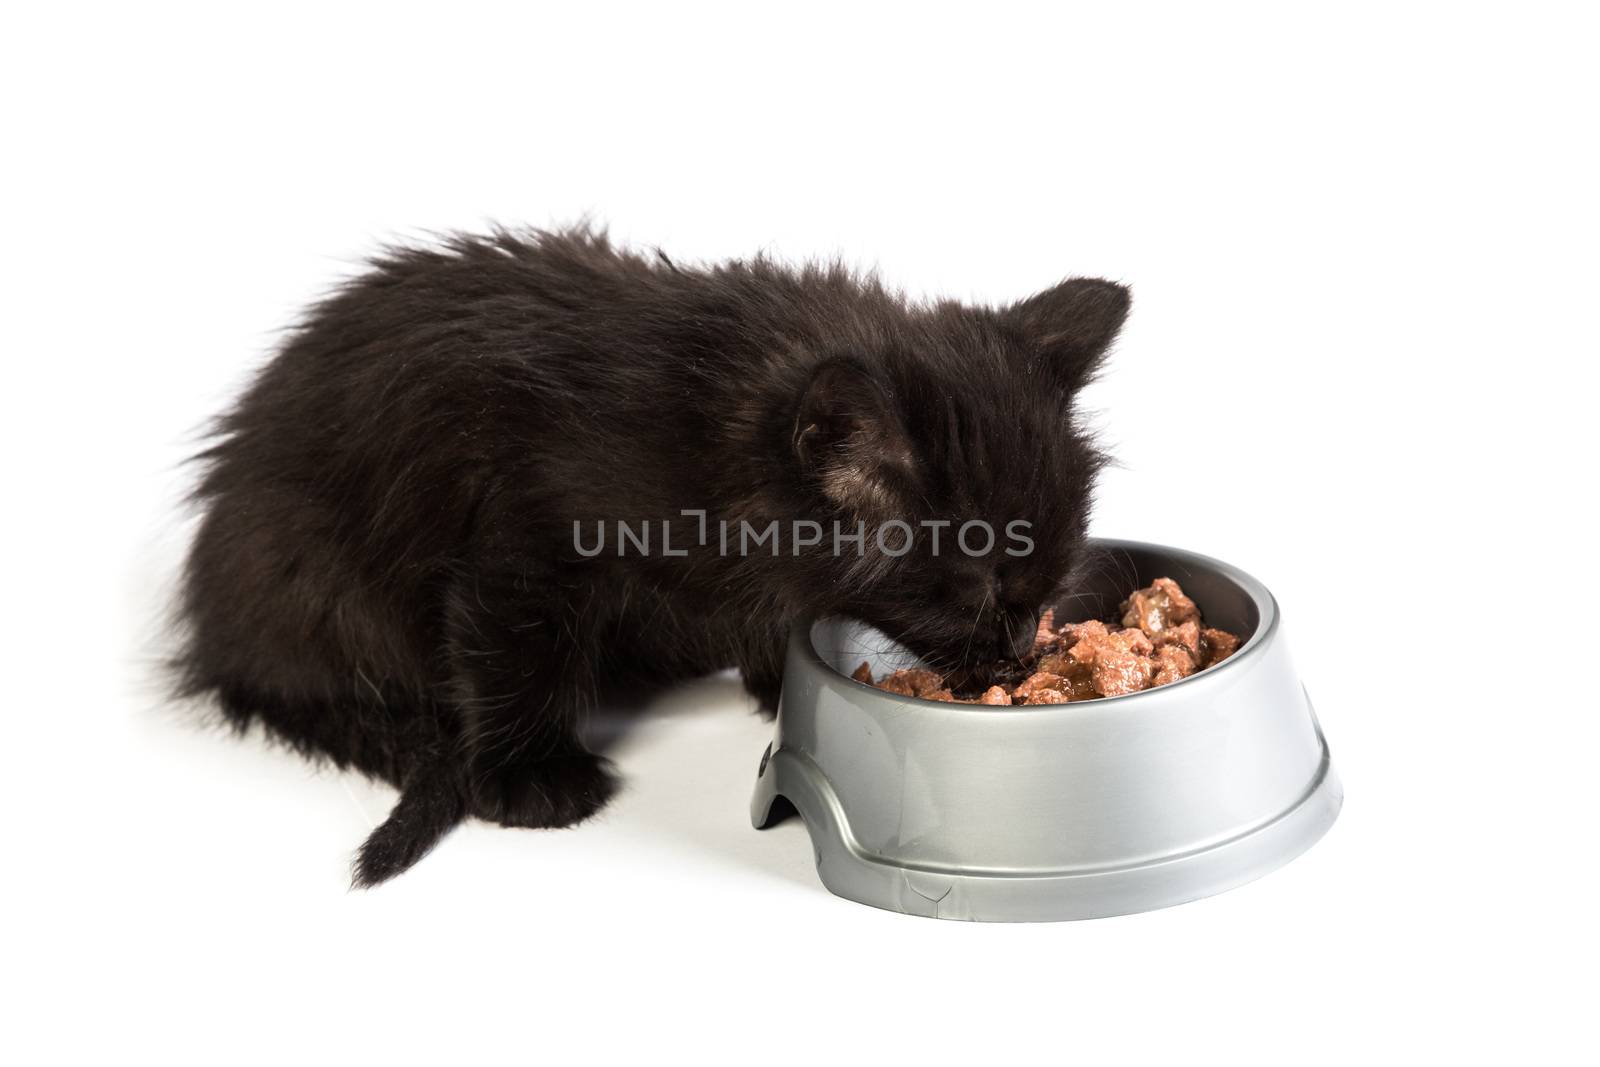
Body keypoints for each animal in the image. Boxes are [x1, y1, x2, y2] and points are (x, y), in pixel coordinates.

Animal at [172, 230, 1126, 889]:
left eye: (1048, 585)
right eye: (977, 593)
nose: (1020, 652)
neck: (705, 426)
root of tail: (212, 626)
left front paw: (772, 678)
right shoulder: (525, 545)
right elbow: (514, 654)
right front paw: (530, 777)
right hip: (317, 580)